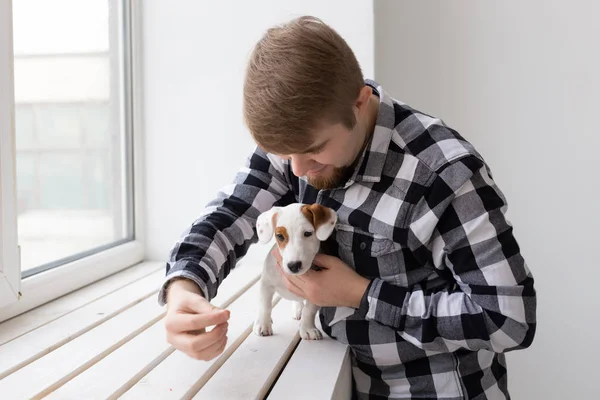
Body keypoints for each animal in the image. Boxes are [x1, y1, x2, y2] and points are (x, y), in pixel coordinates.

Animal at [253, 203, 338, 340]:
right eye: (280, 236)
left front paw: (308, 329)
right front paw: (263, 325)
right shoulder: (266, 284)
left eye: (308, 233)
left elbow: (309, 311)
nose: (293, 266)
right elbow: (265, 306)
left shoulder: (316, 293)